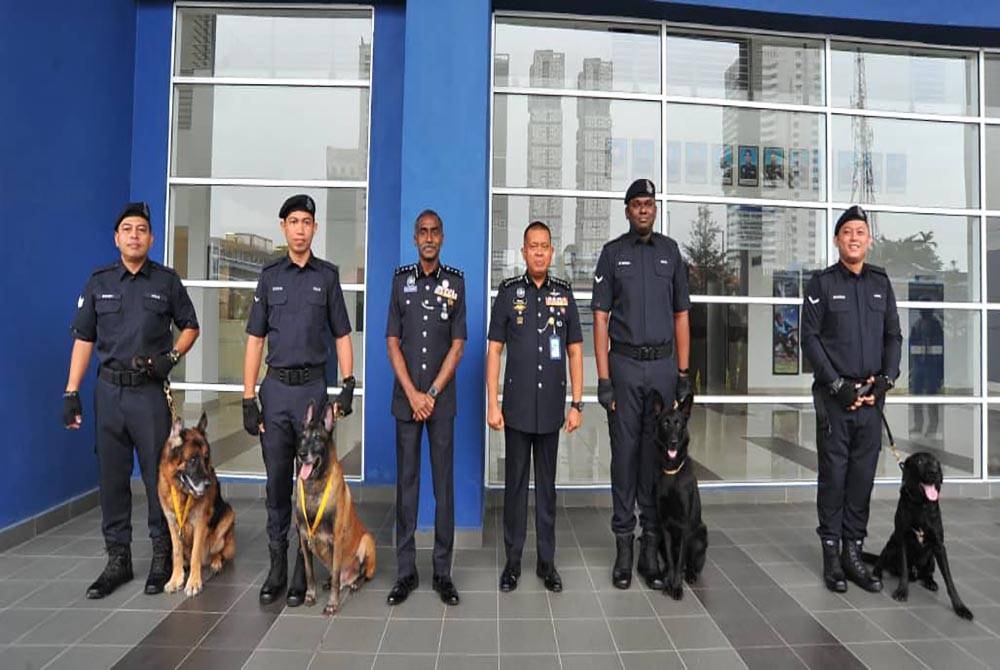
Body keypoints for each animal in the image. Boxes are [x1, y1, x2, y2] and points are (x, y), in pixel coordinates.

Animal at [160, 414, 238, 600]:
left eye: (206, 457)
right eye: (193, 460)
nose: (209, 484)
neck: (182, 492)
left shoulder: (200, 524)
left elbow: (196, 553)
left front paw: (194, 582)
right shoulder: (172, 524)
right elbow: (176, 553)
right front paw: (176, 578)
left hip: (227, 517)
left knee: (218, 552)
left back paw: (215, 562)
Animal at [296, 400, 378, 616]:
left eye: (317, 438)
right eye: (302, 437)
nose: (301, 454)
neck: (315, 486)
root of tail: (348, 580)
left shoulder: (336, 540)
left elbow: (335, 575)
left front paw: (332, 604)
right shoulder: (304, 539)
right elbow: (309, 573)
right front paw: (310, 595)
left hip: (367, 541)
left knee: (362, 574)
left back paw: (356, 582)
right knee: (336, 578)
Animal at [652, 392, 708, 600]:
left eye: (679, 423)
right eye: (665, 423)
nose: (674, 442)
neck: (672, 471)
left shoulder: (684, 528)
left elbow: (680, 560)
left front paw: (676, 587)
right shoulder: (665, 526)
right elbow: (670, 558)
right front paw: (669, 582)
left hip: (700, 537)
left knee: (691, 565)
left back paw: (689, 575)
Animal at [864, 454, 972, 624]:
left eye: (936, 462)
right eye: (920, 461)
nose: (934, 472)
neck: (921, 505)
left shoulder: (939, 546)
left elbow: (949, 580)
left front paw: (960, 607)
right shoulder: (901, 540)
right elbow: (904, 570)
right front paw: (902, 591)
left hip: (931, 558)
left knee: (928, 573)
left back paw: (930, 582)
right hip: (891, 545)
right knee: (882, 563)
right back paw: (877, 574)